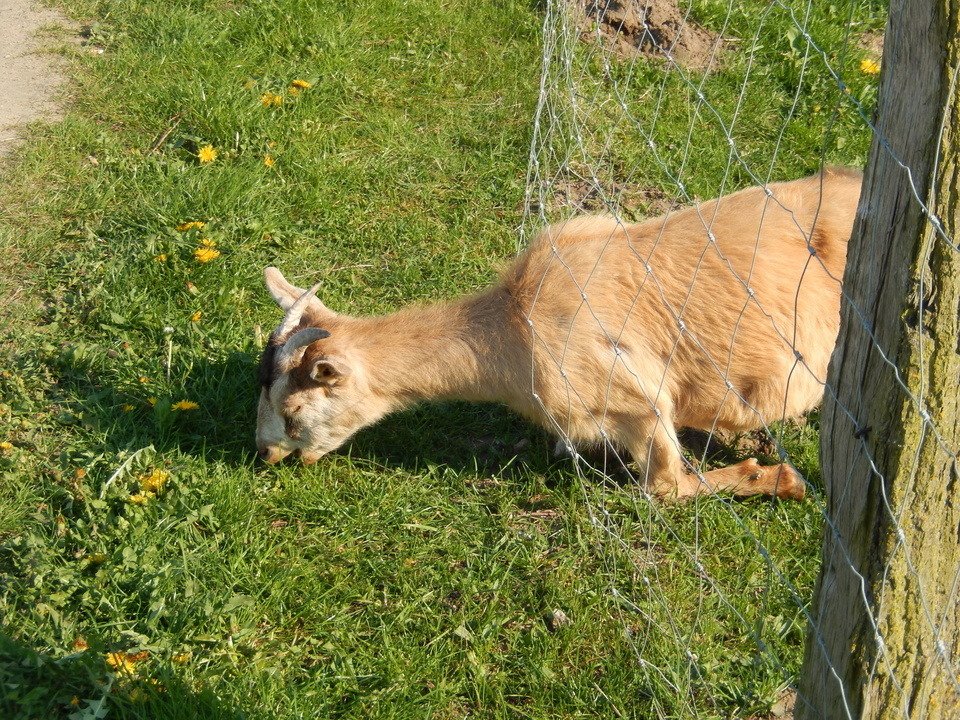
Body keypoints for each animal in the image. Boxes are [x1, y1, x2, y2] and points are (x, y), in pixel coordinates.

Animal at [256, 166, 864, 498]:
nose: (265, 454)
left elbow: (667, 489)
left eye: (292, 410)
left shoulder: (638, 400)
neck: (516, 326)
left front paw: (779, 479)